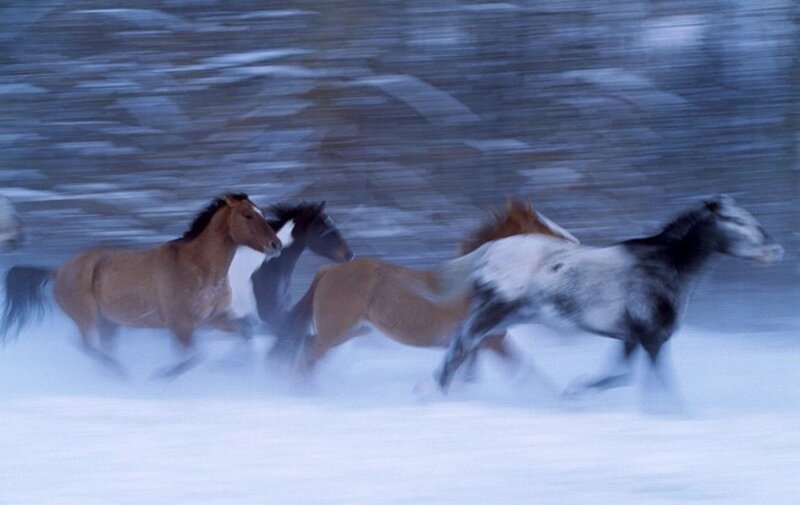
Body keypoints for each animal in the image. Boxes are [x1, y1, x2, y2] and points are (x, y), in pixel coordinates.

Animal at [0, 193, 282, 377]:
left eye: (261, 213)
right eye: (247, 215)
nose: (276, 245)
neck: (199, 267)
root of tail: (58, 270)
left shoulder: (214, 318)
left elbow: (245, 332)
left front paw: (236, 366)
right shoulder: (180, 324)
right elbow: (194, 357)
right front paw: (161, 376)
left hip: (109, 322)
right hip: (87, 317)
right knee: (85, 345)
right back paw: (120, 373)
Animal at [271, 199, 579, 377]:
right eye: (540, 225)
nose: (573, 241)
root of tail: (328, 271)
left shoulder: (478, 346)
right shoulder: (490, 340)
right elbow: (523, 369)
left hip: (348, 332)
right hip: (334, 332)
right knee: (308, 356)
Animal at [433, 195, 784, 399]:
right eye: (736, 221)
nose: (774, 250)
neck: (666, 266)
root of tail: (487, 252)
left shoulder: (631, 338)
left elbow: (623, 376)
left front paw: (575, 390)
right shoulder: (653, 338)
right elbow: (660, 387)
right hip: (494, 312)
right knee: (461, 344)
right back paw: (439, 392)